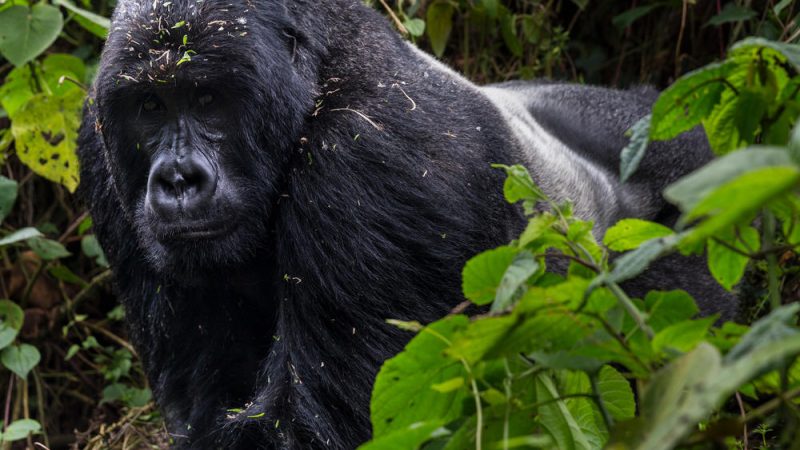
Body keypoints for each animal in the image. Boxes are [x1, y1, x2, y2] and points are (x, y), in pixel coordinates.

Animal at [78, 0, 736, 448]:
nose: (177, 179)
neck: (316, 77)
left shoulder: (371, 156)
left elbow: (312, 428)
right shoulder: (98, 145)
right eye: (150, 107)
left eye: (209, 100)